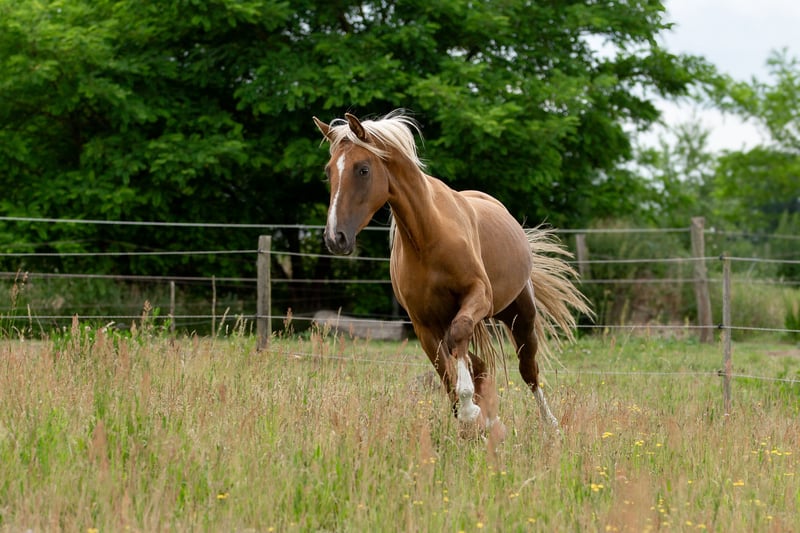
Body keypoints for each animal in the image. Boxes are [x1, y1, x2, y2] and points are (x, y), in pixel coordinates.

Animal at [313, 110, 591, 440]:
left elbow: (459, 339)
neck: (429, 237)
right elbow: (445, 372)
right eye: (329, 171)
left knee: (528, 371)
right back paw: (492, 421)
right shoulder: (423, 324)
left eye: (363, 169)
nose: (335, 238)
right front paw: (471, 418)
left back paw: (551, 426)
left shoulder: (478, 296)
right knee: (477, 363)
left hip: (520, 316)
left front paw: (470, 410)